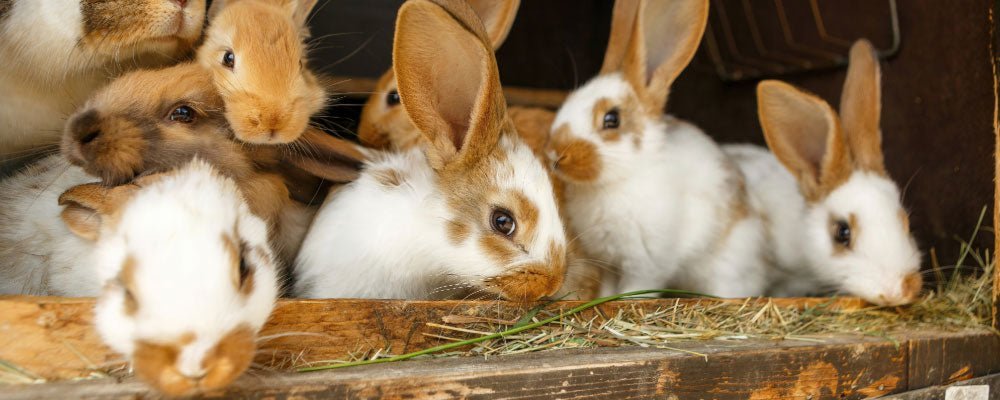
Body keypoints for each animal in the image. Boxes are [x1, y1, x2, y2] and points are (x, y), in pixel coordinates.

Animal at [545, 0, 768, 298]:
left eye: (612, 119)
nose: (555, 154)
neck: (620, 178)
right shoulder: (608, 262)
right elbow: (607, 289)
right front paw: (603, 300)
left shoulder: (645, 261)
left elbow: (637, 288)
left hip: (724, 268)